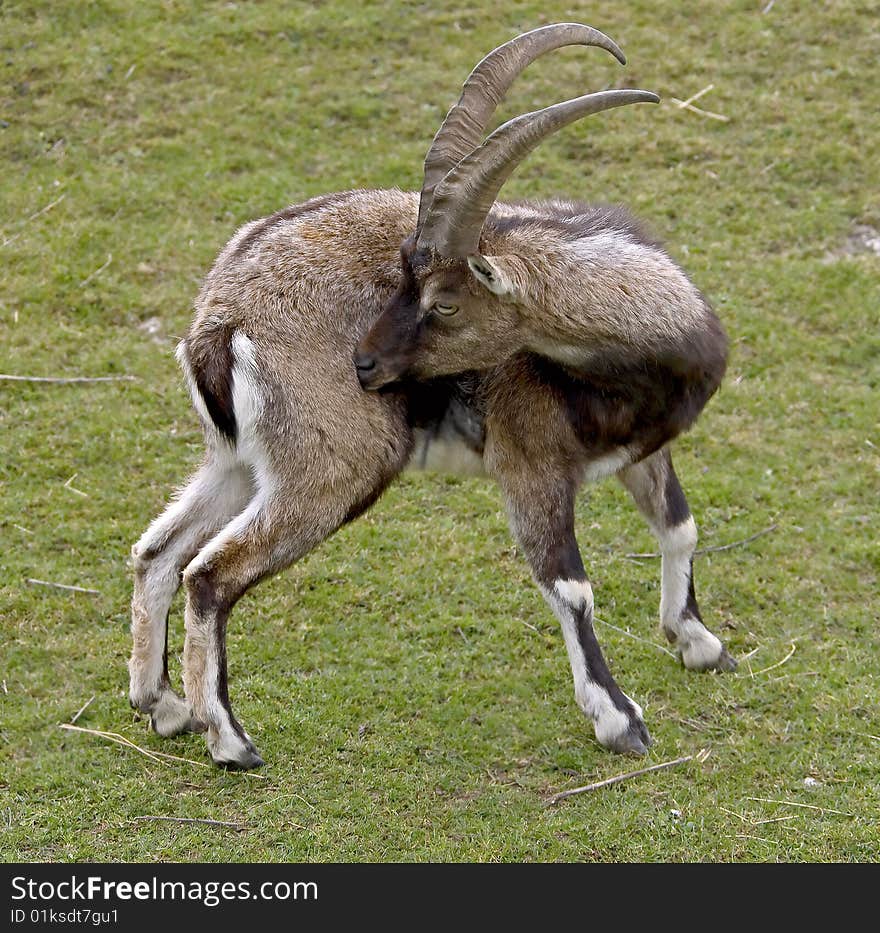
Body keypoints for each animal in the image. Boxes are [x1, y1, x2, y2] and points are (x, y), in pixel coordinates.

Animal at [129, 25, 736, 768]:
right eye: (400, 278)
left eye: (442, 300)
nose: (365, 363)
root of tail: (220, 321)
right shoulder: (530, 464)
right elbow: (570, 585)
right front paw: (619, 718)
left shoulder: (640, 449)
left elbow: (680, 526)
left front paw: (699, 642)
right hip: (334, 467)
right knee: (211, 573)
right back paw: (230, 739)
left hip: (239, 461)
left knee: (157, 553)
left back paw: (163, 706)